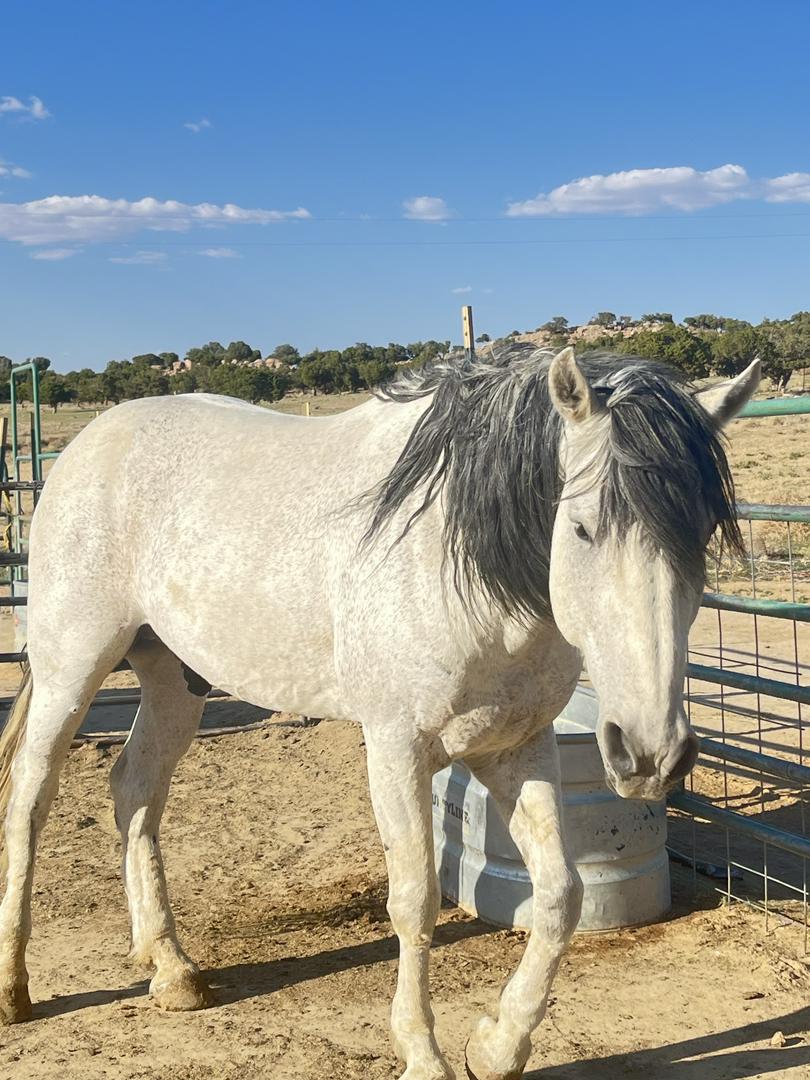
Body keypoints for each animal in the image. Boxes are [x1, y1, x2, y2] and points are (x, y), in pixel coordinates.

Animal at [0, 344, 759, 1080]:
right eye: (580, 528)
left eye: (702, 536)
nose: (650, 754)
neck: (454, 563)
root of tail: (91, 441)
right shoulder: (397, 748)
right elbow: (416, 898)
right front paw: (423, 1054)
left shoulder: (517, 747)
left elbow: (560, 897)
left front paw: (496, 1046)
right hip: (73, 668)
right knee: (31, 798)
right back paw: (16, 988)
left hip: (174, 678)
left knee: (134, 789)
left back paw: (170, 968)